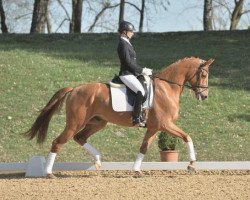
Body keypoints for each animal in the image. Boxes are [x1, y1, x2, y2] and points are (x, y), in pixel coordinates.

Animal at [24, 57, 214, 177]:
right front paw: (191, 164)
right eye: (204, 74)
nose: (204, 96)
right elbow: (187, 137)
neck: (167, 88)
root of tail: (75, 89)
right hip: (75, 123)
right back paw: (49, 173)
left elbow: (143, 148)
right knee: (58, 142)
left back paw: (98, 161)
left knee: (80, 137)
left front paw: (136, 170)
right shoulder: (165, 124)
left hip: (98, 123)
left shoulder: (154, 127)